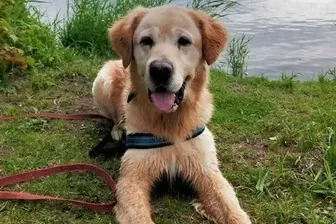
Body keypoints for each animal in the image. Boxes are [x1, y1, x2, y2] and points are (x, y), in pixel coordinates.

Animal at [91, 5, 249, 224]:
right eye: (146, 40)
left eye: (184, 41)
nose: (160, 70)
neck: (170, 122)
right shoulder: (132, 178)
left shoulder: (208, 172)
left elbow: (234, 212)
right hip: (102, 81)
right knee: (113, 118)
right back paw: (117, 130)